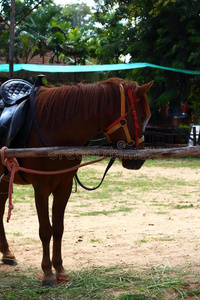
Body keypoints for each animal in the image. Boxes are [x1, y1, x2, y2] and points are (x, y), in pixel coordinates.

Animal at [0, 77, 152, 286]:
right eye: (142, 117)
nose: (139, 160)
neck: (54, 130)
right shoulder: (41, 188)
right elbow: (45, 230)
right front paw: (47, 274)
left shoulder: (63, 186)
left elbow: (58, 229)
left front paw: (60, 269)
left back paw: (7, 254)